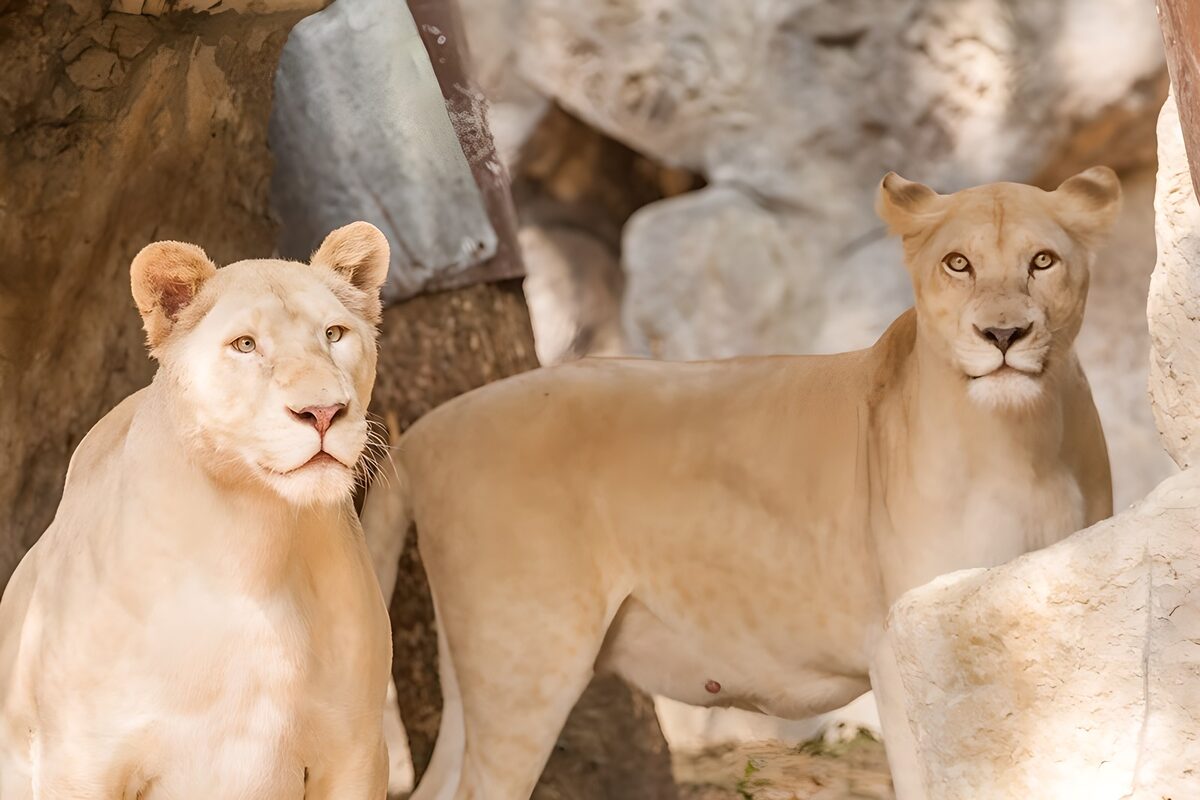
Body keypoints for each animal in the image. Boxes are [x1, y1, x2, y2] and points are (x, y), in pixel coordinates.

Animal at [0, 223, 394, 800]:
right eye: (245, 345)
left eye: (335, 334)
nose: (324, 411)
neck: (255, 551)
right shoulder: (79, 759)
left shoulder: (356, 750)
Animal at [363, 168, 1120, 799]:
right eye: (957, 263)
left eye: (1043, 261)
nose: (1004, 335)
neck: (1023, 443)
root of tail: (425, 431)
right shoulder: (898, 646)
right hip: (526, 660)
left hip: (479, 672)